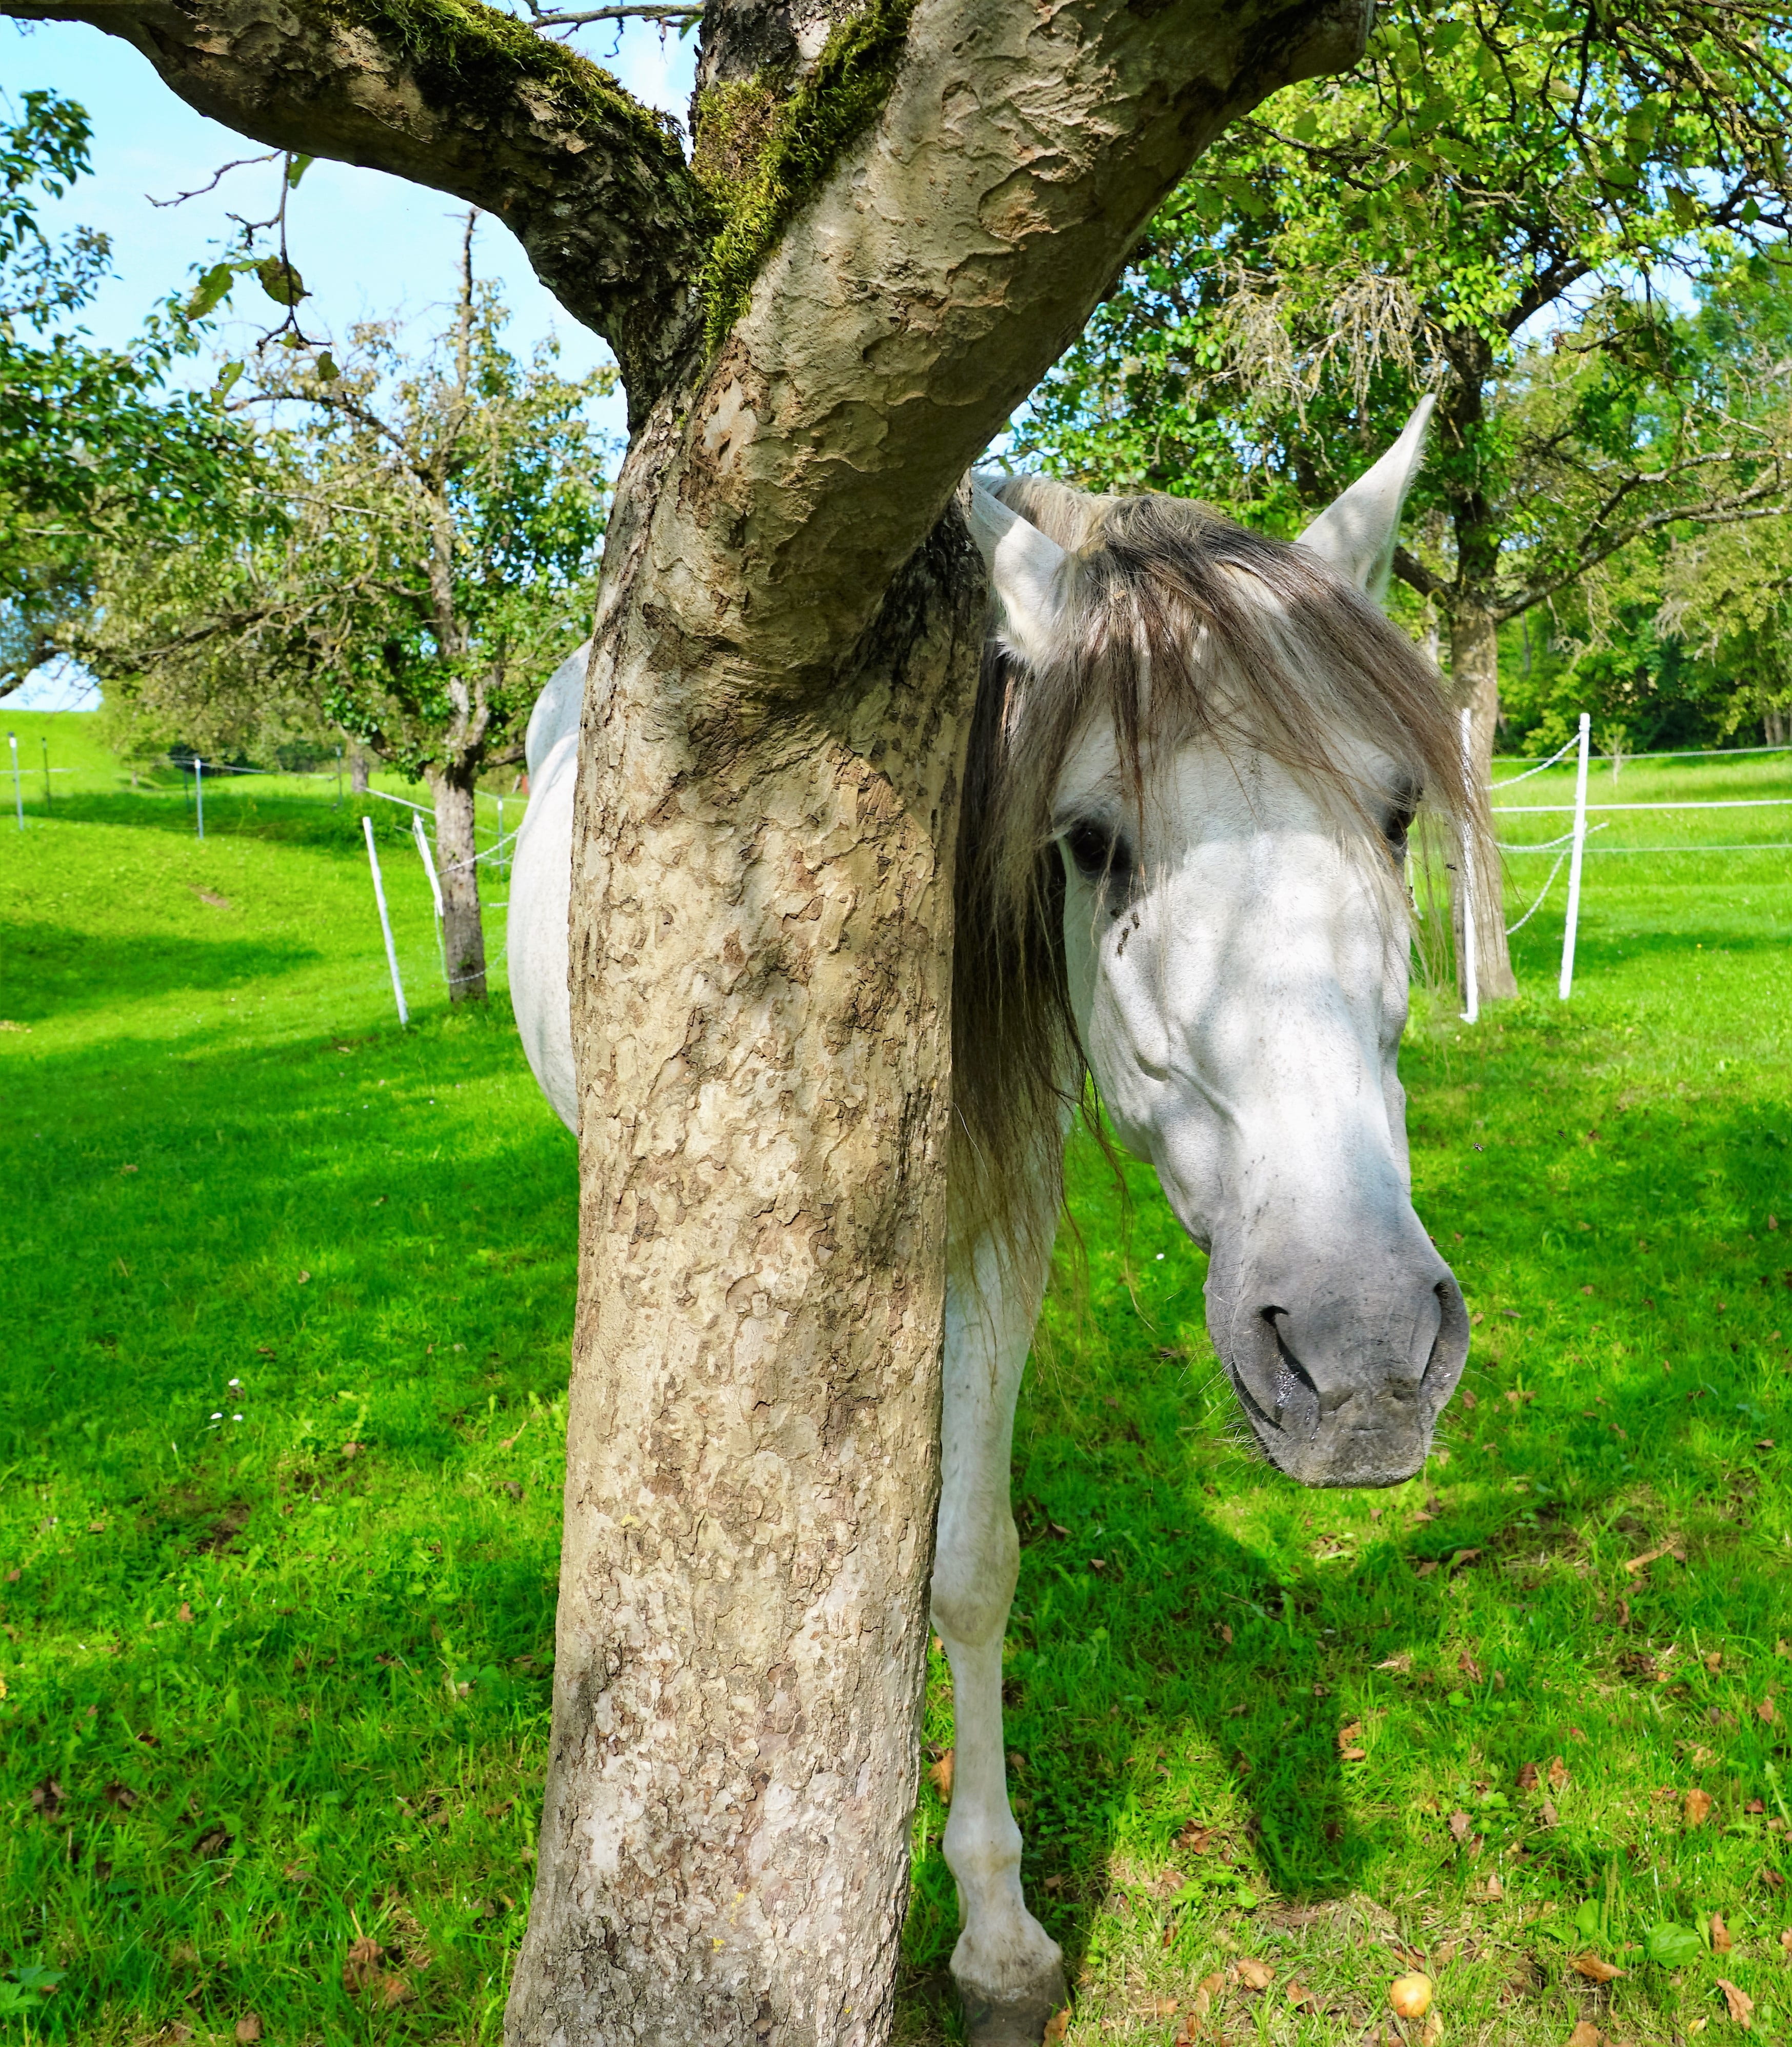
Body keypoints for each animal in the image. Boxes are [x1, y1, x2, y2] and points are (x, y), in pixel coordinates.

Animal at [508, 399, 1475, 2047]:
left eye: (1396, 812)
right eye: (1086, 839)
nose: (1361, 1357)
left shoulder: (999, 1234)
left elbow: (968, 1565)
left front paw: (997, 1940)